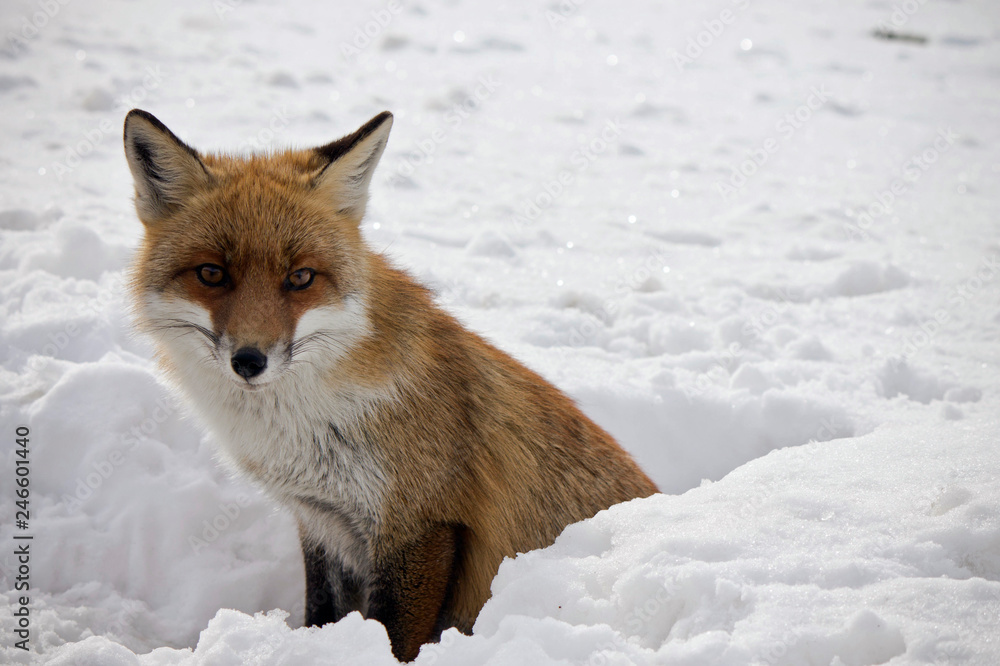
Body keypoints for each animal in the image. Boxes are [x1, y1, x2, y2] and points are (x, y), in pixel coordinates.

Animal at [122, 108, 659, 662]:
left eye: (301, 278)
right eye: (211, 273)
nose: (249, 361)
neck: (308, 425)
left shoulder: (423, 526)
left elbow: (394, 638)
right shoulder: (323, 522)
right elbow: (323, 616)